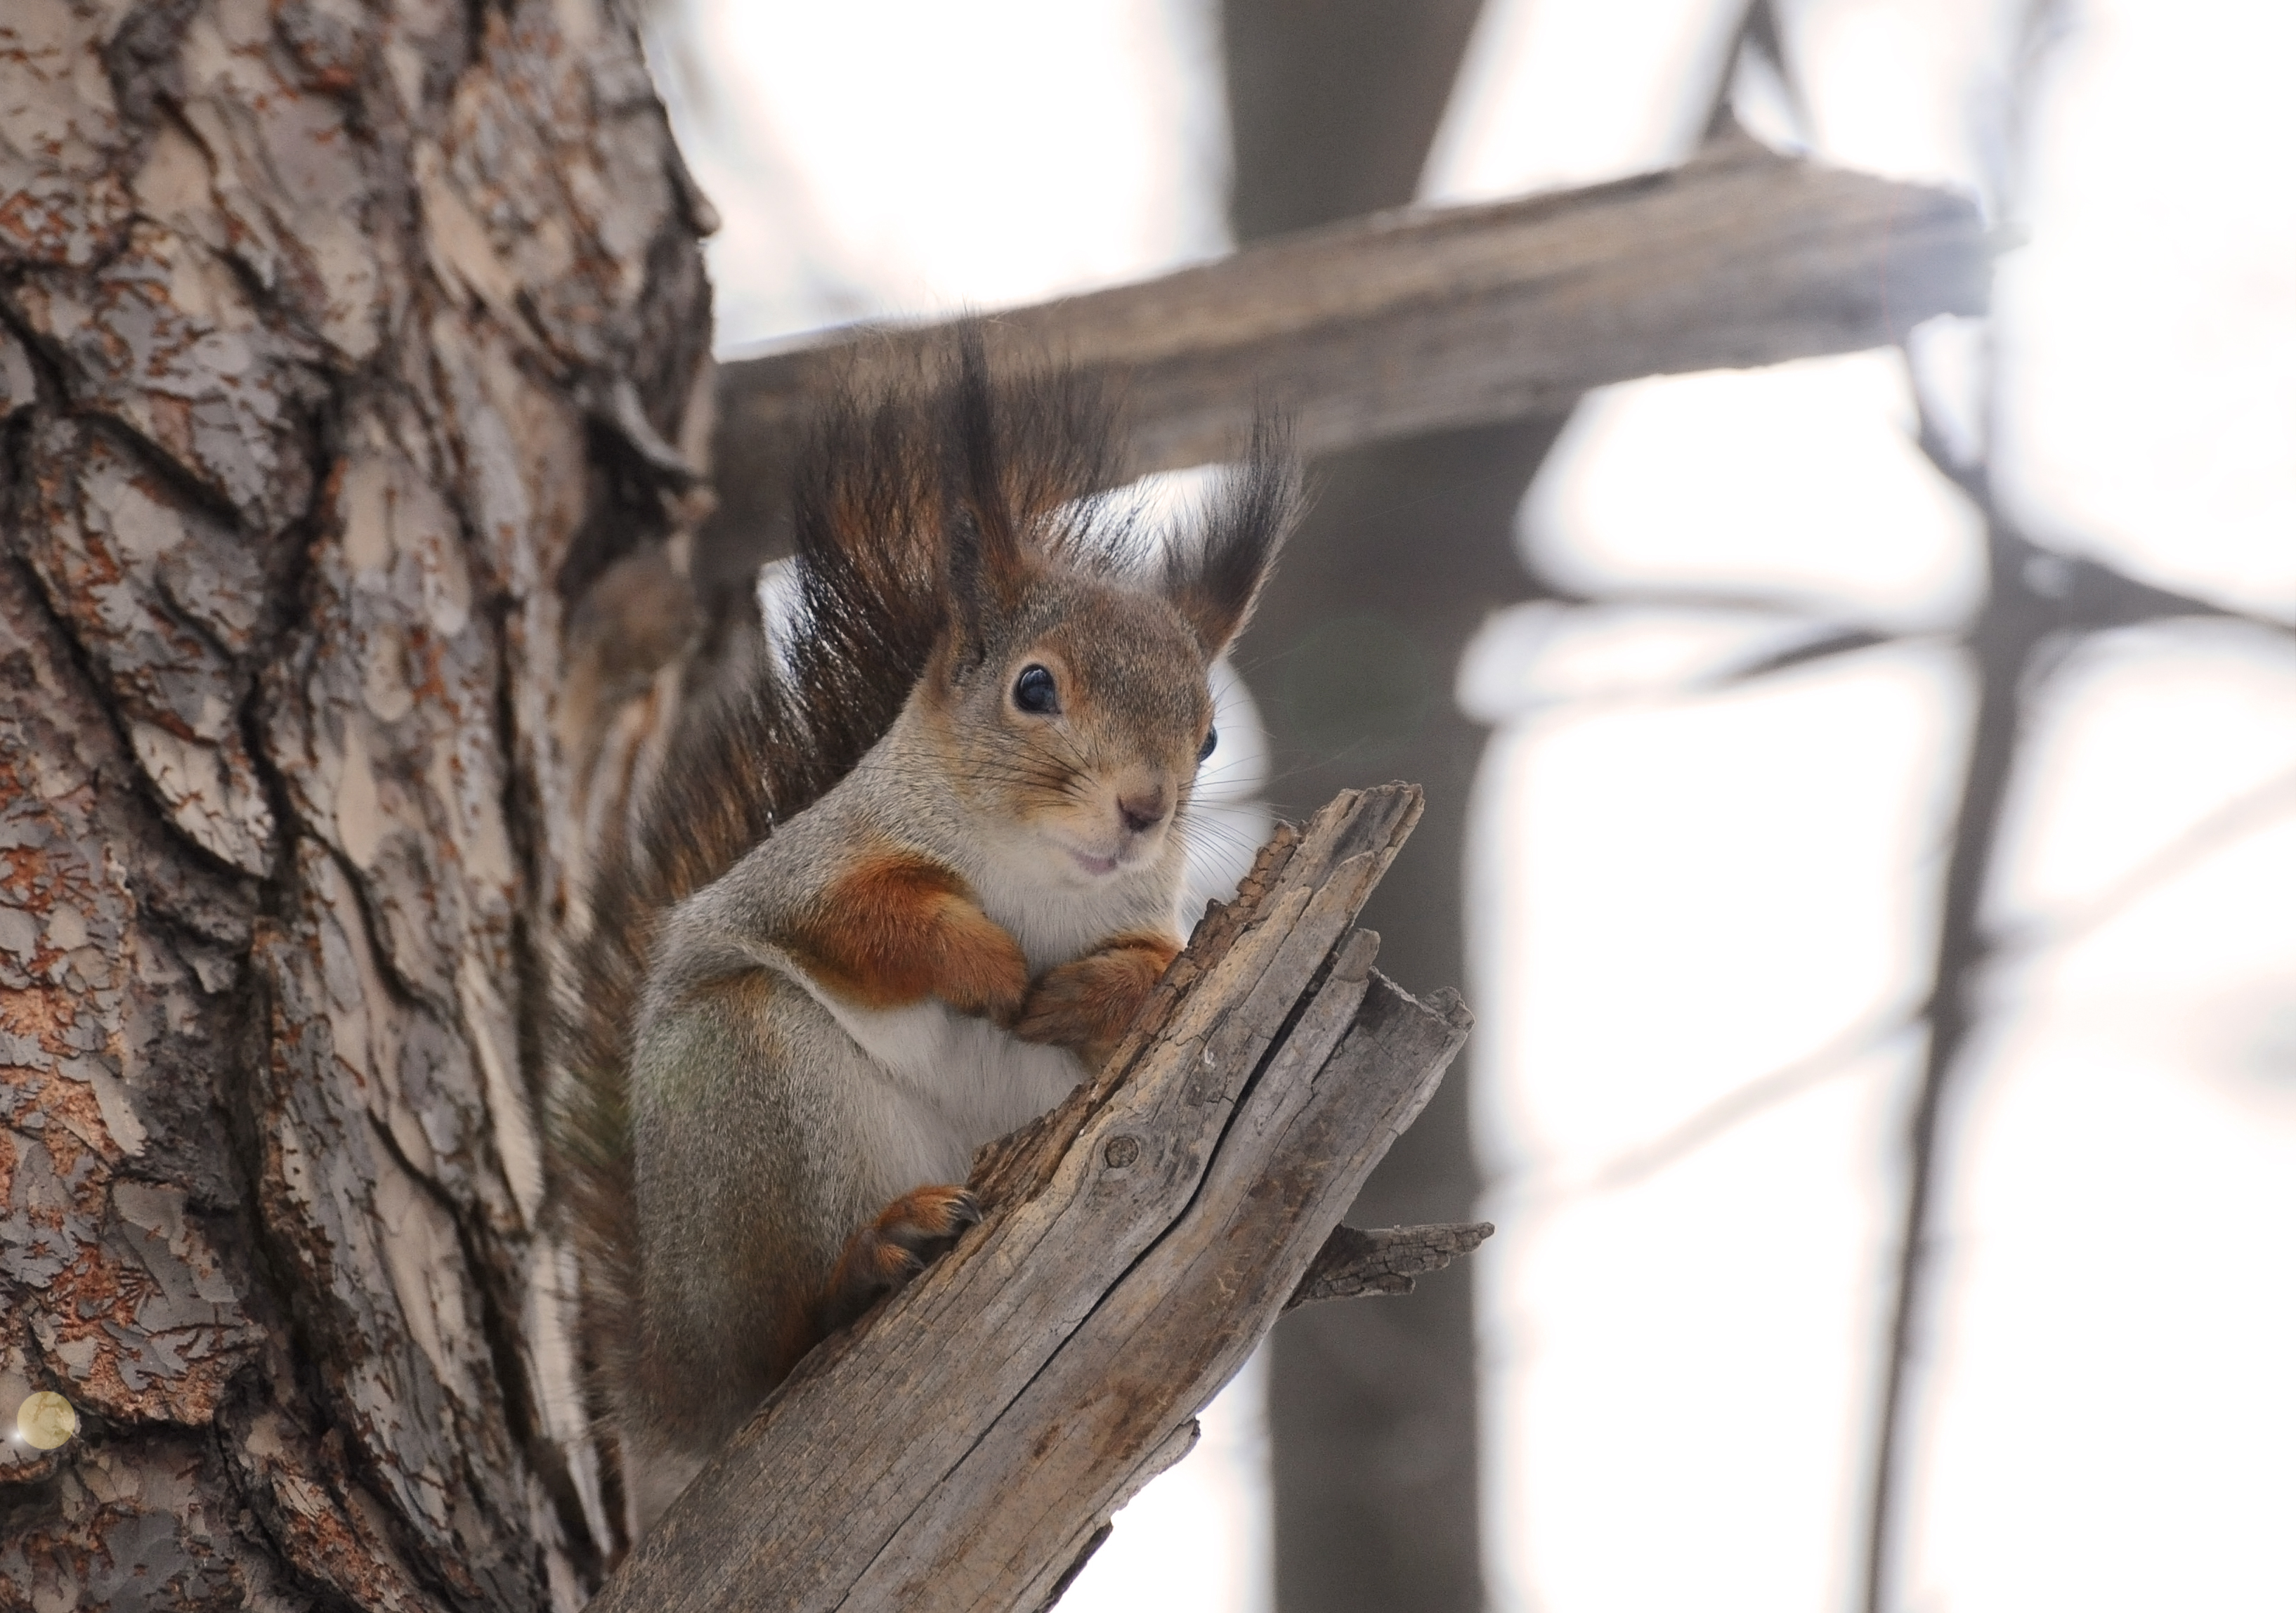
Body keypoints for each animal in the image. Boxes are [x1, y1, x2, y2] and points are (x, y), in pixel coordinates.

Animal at [549, 330, 1304, 1541]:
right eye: (1034, 687)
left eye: (1209, 734)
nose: (1144, 810)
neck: (1037, 875)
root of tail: (672, 1390)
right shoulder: (803, 876)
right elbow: (864, 922)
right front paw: (987, 965)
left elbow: (1159, 984)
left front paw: (1095, 993)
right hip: (742, 1092)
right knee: (770, 1343)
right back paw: (870, 1258)